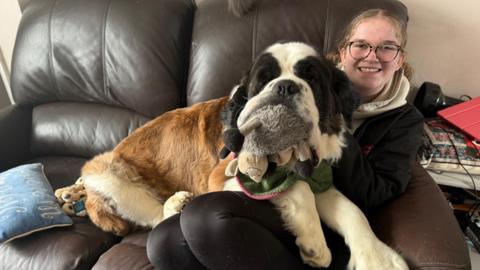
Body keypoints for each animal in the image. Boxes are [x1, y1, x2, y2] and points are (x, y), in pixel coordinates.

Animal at [81, 41, 408, 268]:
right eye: (263, 81)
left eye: (312, 79)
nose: (285, 86)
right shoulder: (222, 176)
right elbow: (296, 188)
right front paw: (314, 241)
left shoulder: (320, 178)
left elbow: (352, 211)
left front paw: (378, 259)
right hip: (108, 172)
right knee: (153, 218)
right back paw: (175, 204)